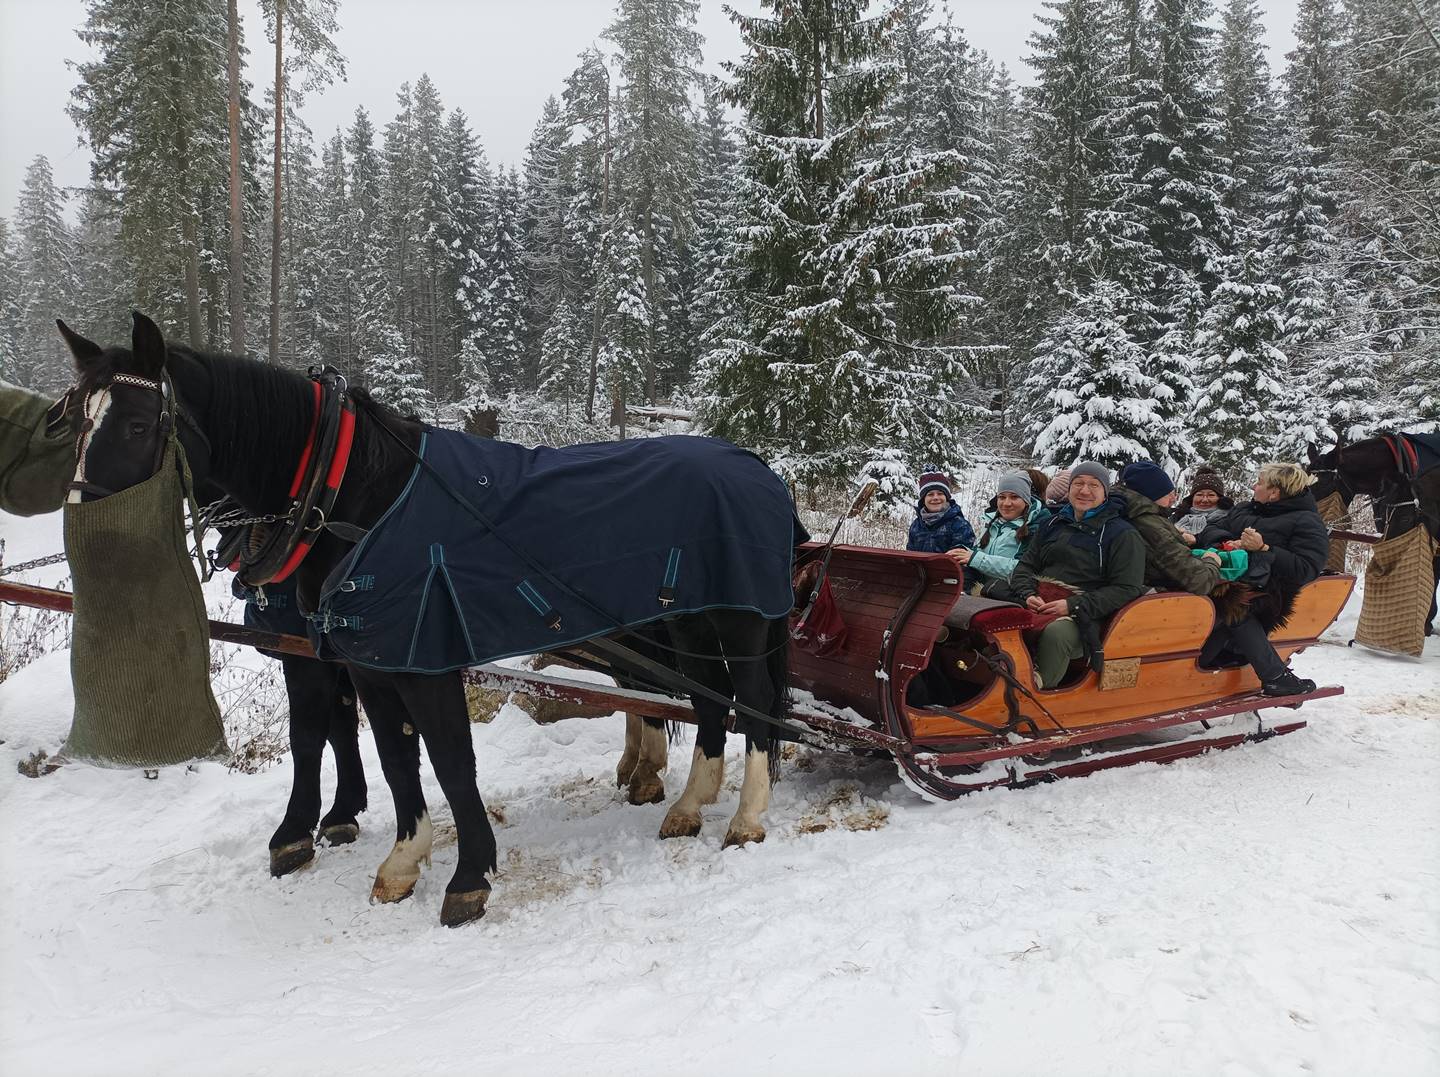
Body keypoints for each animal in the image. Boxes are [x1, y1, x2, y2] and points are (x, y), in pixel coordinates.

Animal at [61, 311, 794, 927]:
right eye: (72, 422)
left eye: (136, 424)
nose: (85, 538)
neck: (354, 493)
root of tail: (760, 466)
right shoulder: (370, 658)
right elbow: (391, 756)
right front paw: (401, 858)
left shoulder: (423, 654)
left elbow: (447, 760)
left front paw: (467, 876)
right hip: (686, 623)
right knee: (709, 699)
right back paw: (688, 805)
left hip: (741, 618)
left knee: (754, 702)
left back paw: (746, 819)